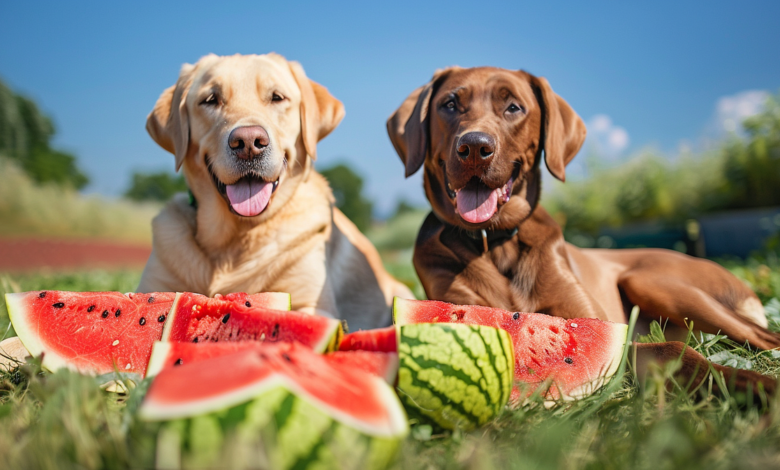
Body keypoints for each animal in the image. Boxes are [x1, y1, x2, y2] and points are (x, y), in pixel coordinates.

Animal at [137, 53, 412, 330]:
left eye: (277, 97)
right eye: (211, 99)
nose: (248, 142)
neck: (234, 240)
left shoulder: (314, 304)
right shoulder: (153, 285)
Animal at [386, 66, 780, 352]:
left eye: (513, 107)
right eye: (450, 104)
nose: (474, 147)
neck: (495, 240)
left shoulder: (588, 313)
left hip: (651, 280)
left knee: (764, 339)